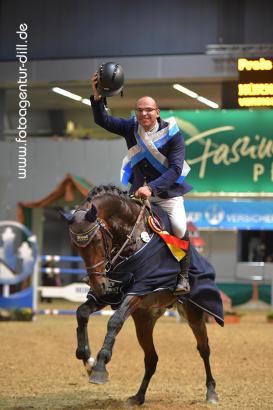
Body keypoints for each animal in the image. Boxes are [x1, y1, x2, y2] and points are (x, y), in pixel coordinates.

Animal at [61, 186, 219, 406]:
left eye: (98, 240)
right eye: (76, 246)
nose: (97, 285)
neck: (130, 236)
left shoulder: (140, 289)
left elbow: (115, 321)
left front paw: (99, 367)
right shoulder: (111, 292)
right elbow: (82, 313)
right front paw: (87, 360)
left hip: (193, 315)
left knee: (204, 349)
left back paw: (211, 392)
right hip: (144, 320)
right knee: (151, 359)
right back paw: (138, 397)